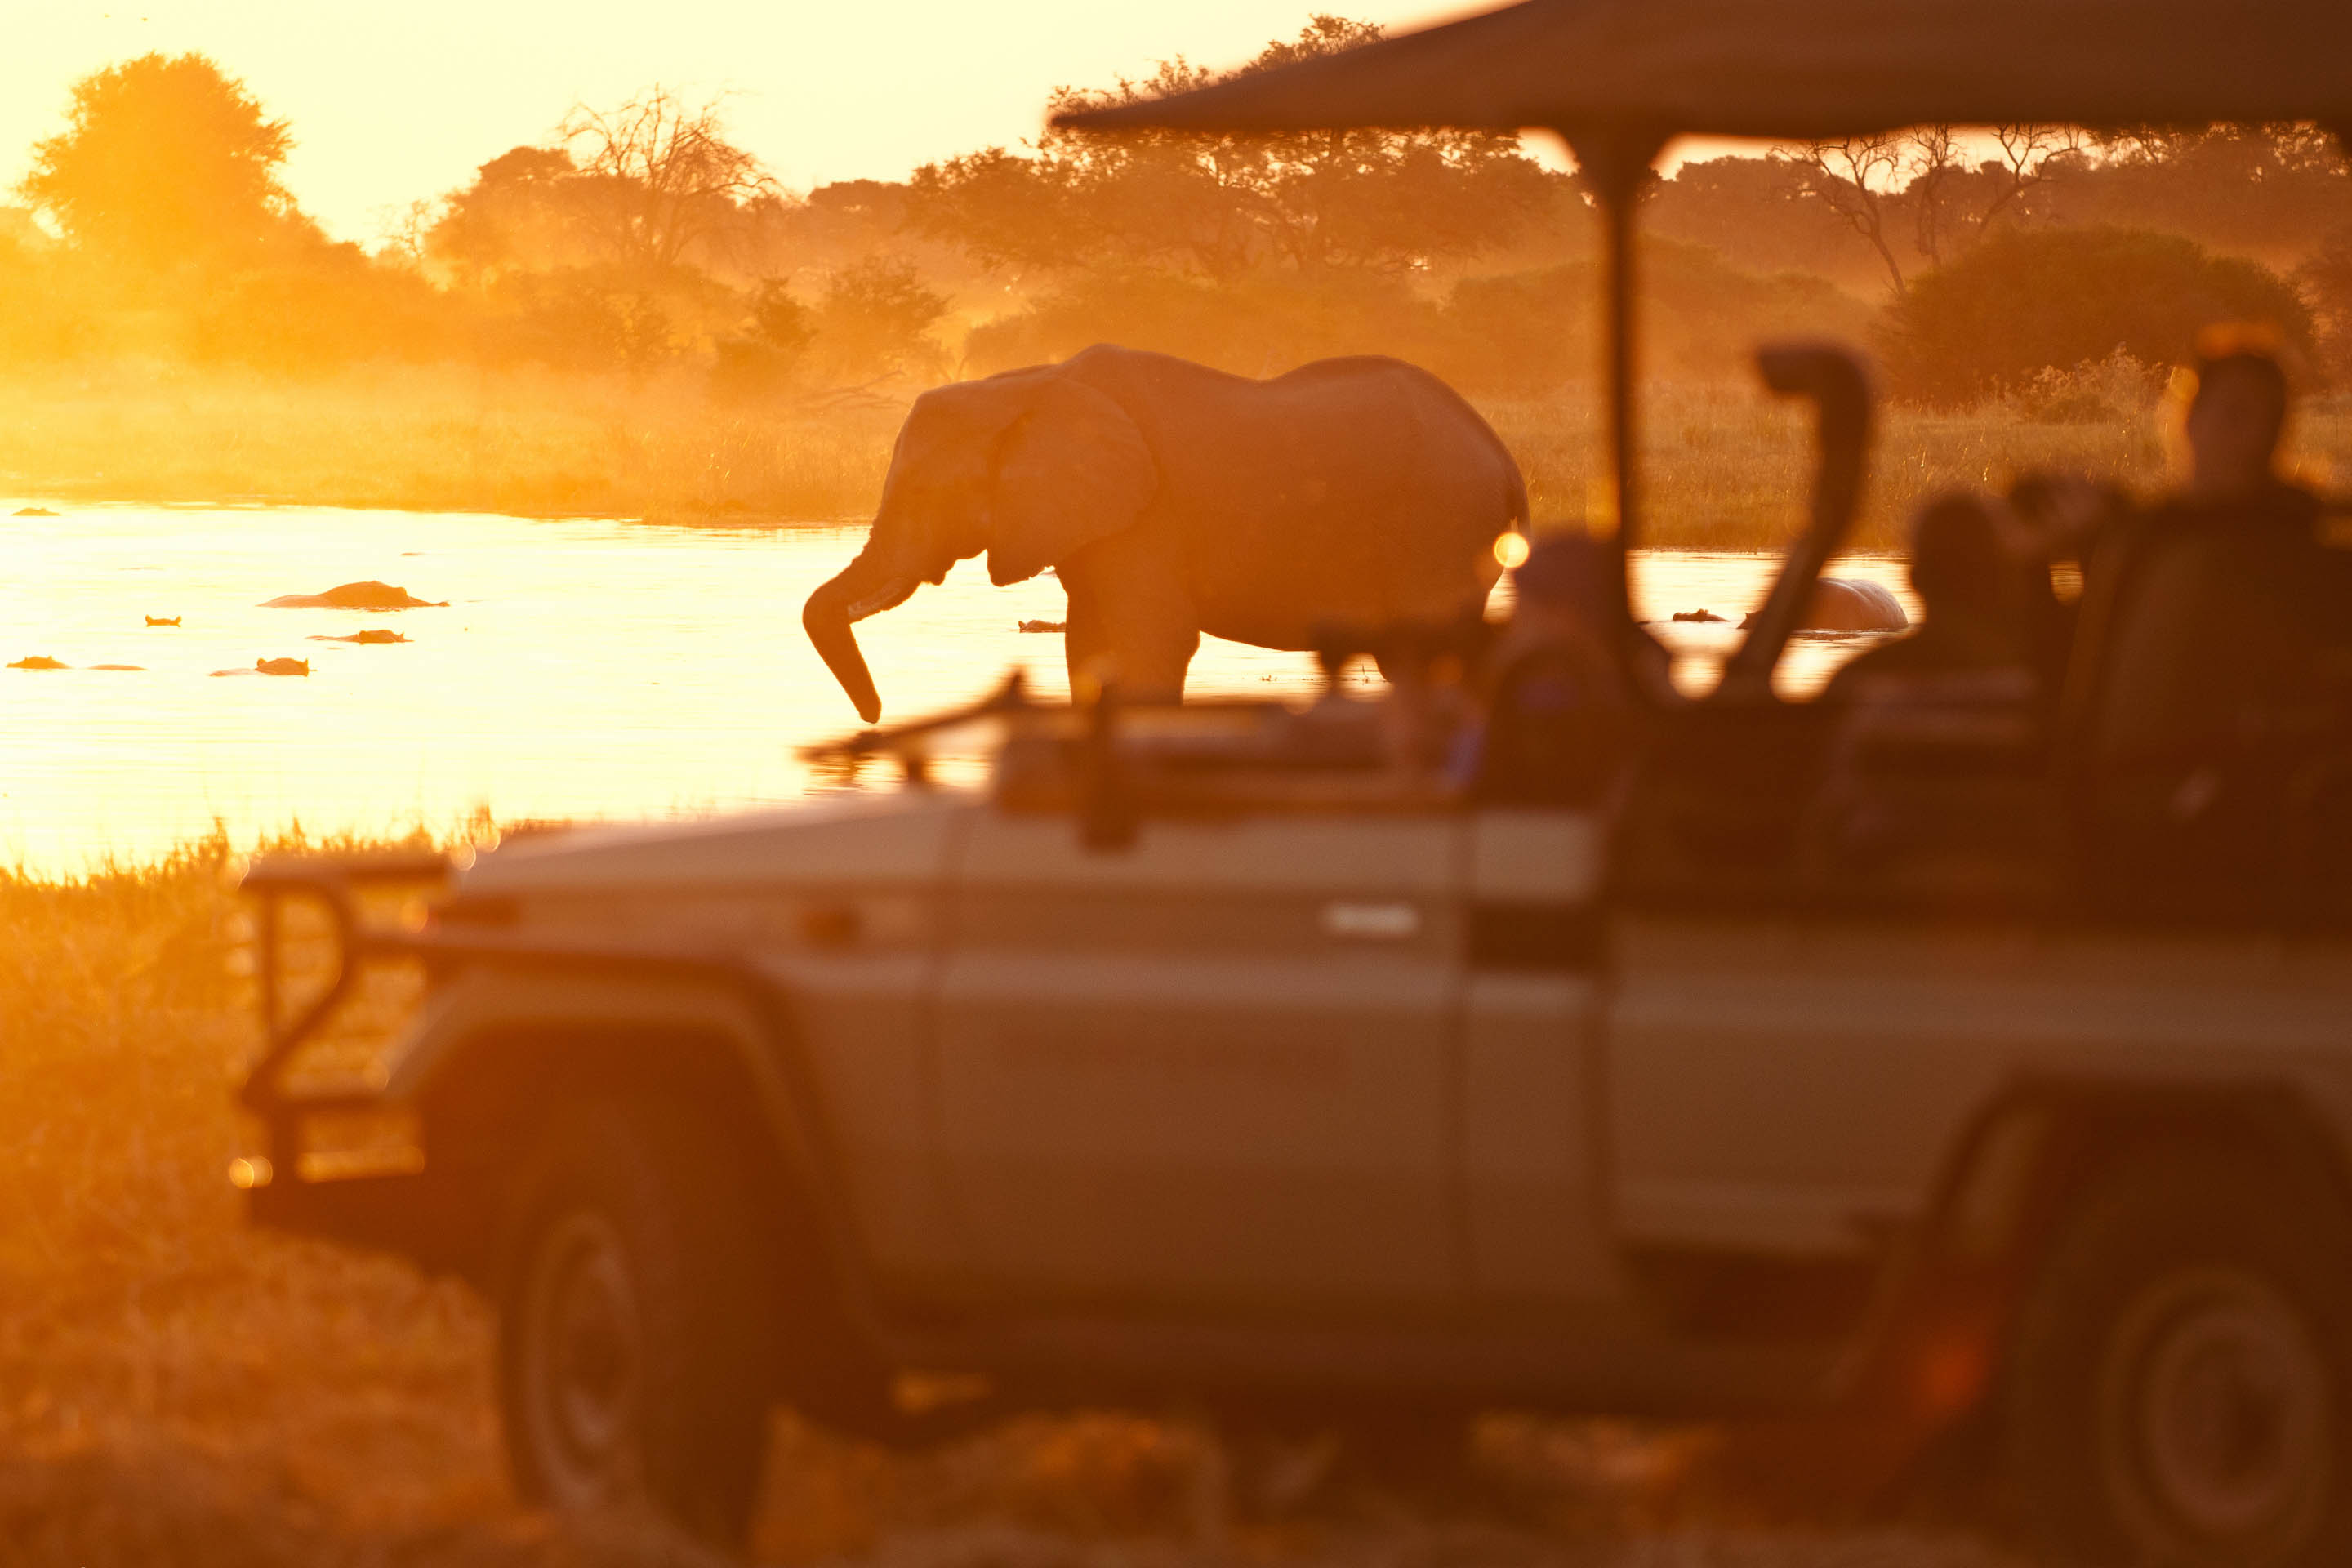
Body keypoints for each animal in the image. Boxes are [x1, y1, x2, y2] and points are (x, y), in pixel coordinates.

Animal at [803, 345, 1528, 723]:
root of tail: (1503, 458)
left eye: (927, 493)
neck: (1027, 383)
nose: (874, 717)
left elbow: (1149, 642)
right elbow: (1089, 647)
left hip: (1439, 525)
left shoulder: (1149, 517)